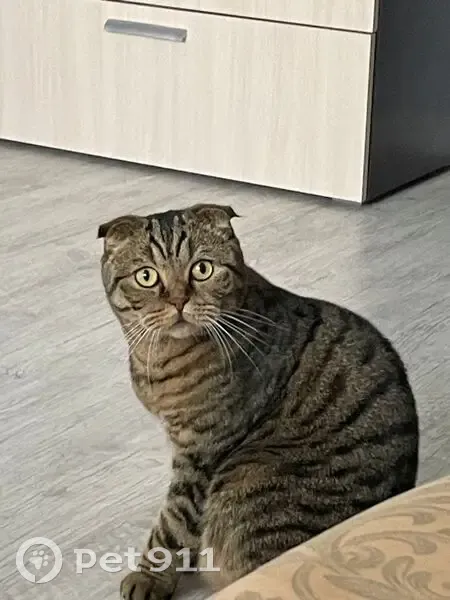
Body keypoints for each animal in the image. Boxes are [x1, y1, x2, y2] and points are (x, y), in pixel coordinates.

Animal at [98, 204, 419, 600]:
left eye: (202, 269)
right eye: (146, 276)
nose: (178, 300)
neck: (158, 355)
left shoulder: (201, 453)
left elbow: (173, 522)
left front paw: (151, 577)